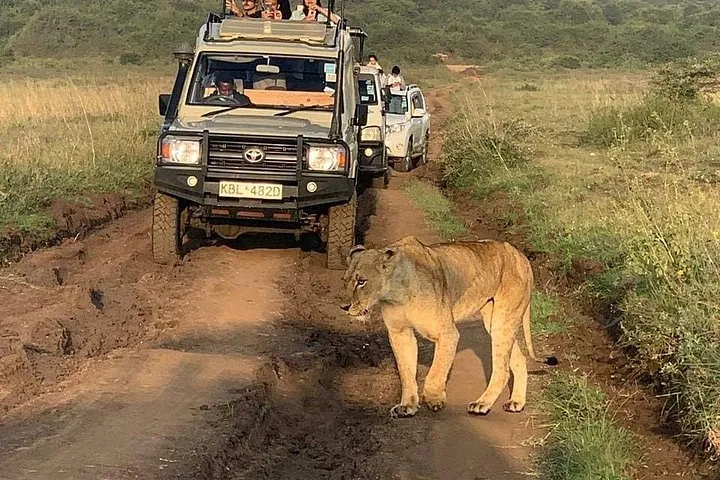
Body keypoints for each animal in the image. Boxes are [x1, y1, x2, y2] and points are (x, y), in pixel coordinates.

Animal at [341, 235, 558, 418]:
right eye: (345, 281)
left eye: (361, 281)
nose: (344, 306)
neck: (394, 294)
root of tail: (522, 256)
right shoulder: (399, 333)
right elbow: (406, 372)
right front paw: (407, 406)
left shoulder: (447, 333)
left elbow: (436, 371)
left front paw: (434, 398)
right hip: (493, 319)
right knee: (519, 360)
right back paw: (516, 402)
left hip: (503, 318)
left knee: (502, 369)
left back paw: (482, 404)